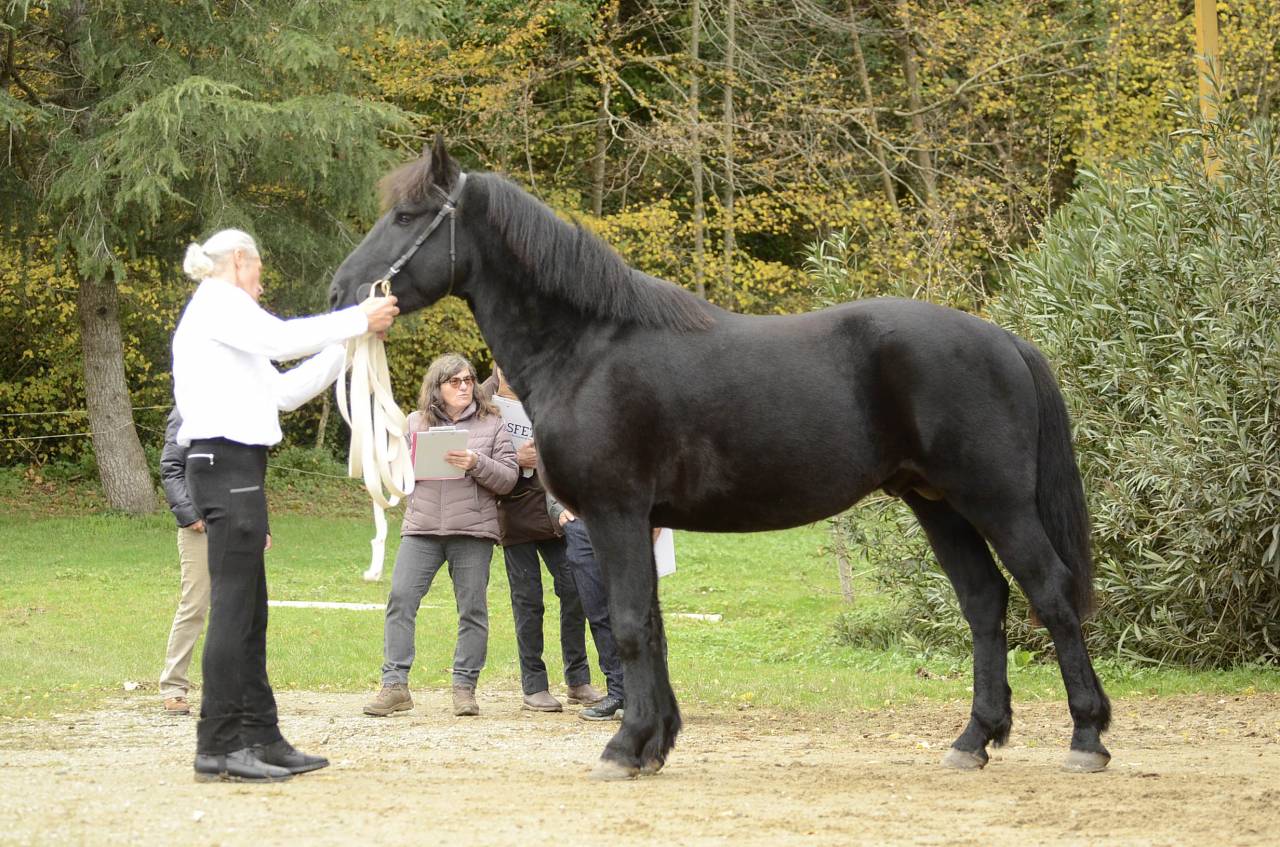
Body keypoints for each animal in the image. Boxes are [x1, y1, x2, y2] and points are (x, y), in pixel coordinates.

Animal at [329, 137, 1111, 779]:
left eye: (407, 216)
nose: (340, 291)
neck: (586, 348)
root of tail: (1003, 338)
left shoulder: (614, 513)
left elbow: (630, 625)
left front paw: (625, 746)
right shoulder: (637, 520)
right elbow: (651, 625)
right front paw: (654, 742)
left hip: (996, 501)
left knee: (1049, 592)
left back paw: (1087, 737)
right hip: (937, 504)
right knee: (985, 602)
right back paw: (974, 739)